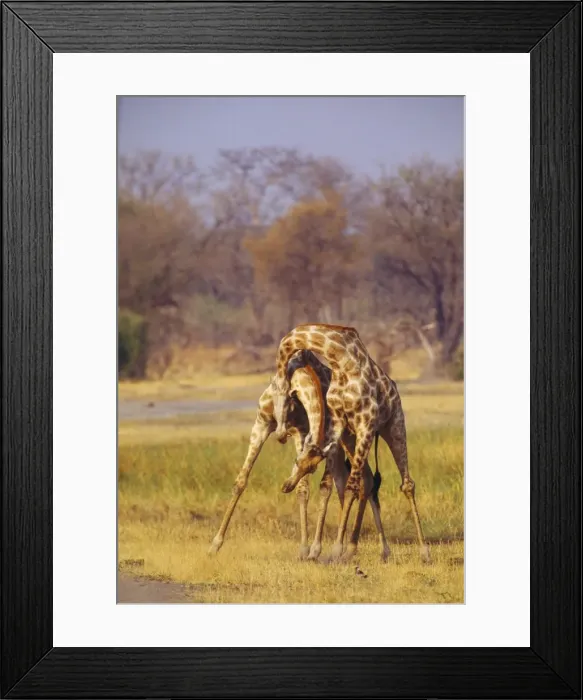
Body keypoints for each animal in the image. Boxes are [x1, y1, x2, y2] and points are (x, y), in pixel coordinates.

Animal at [209, 349, 391, 562]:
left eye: (311, 468)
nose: (285, 487)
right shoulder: (261, 423)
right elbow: (241, 482)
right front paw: (215, 545)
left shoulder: (302, 432)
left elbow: (306, 489)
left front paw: (306, 549)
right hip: (341, 448)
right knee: (347, 483)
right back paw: (353, 547)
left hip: (350, 442)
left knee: (365, 481)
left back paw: (377, 549)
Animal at [271, 323, 431, 564]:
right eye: (297, 462)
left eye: (287, 400)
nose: (286, 486)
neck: (340, 360)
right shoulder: (338, 421)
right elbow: (342, 484)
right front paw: (338, 549)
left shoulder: (366, 423)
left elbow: (349, 488)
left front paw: (336, 550)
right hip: (351, 437)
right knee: (368, 480)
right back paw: (368, 550)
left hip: (393, 427)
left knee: (407, 484)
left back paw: (424, 552)